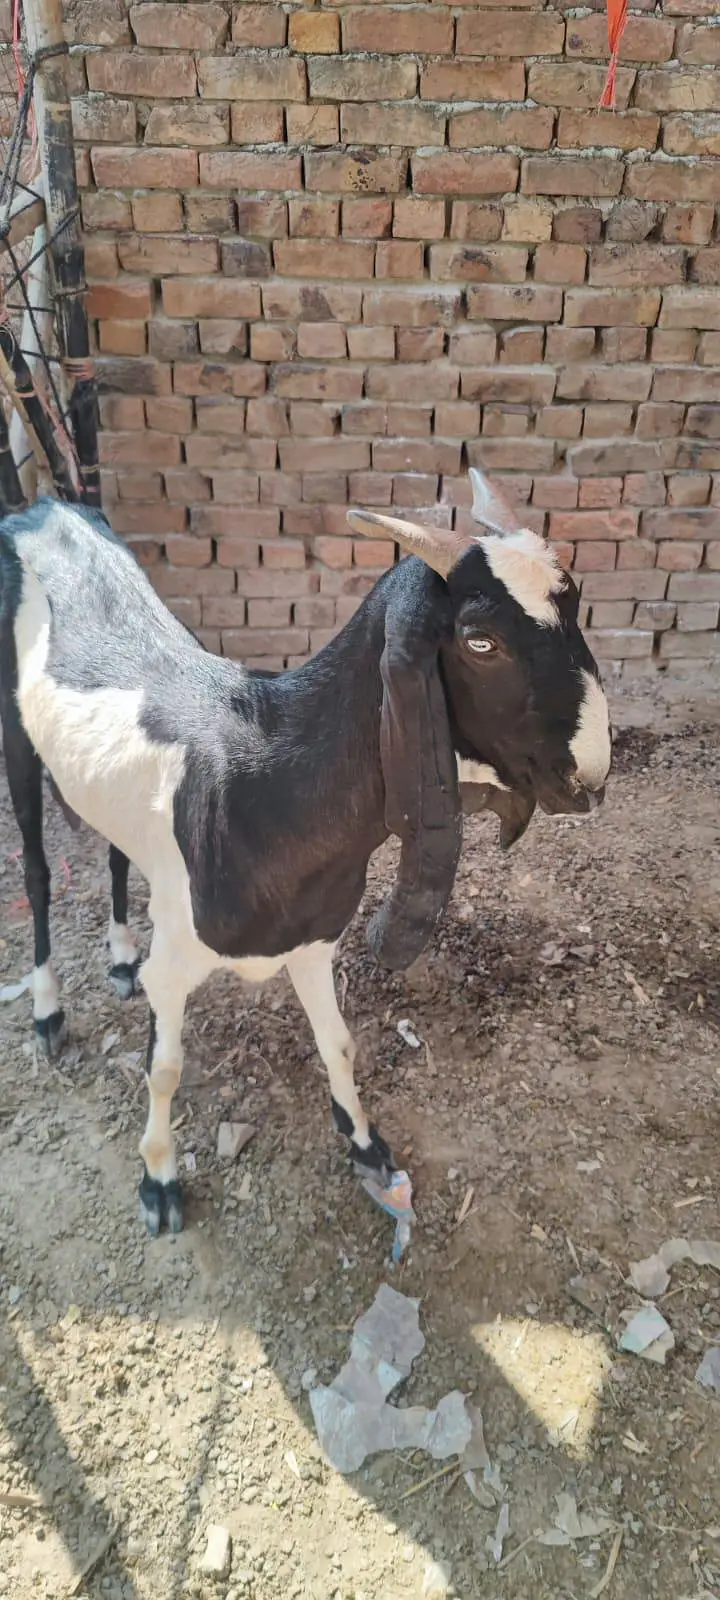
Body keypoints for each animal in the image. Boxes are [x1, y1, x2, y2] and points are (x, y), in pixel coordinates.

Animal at [0, 471, 611, 1235]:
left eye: (577, 603)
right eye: (479, 641)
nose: (589, 775)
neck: (264, 782)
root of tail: (43, 509)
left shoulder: (314, 941)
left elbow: (339, 1042)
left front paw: (367, 1148)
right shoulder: (174, 966)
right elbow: (164, 1068)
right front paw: (159, 1180)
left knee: (114, 851)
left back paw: (116, 959)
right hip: (16, 741)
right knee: (37, 871)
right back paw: (48, 1011)